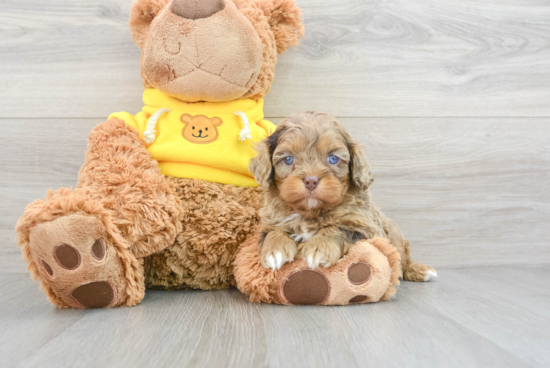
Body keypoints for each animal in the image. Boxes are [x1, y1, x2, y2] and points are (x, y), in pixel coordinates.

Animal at [251, 112, 440, 282]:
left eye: (333, 159)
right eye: (288, 159)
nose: (311, 180)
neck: (310, 212)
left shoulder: (368, 229)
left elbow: (337, 229)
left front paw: (319, 248)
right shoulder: (271, 221)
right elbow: (273, 232)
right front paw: (275, 251)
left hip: (394, 234)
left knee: (402, 259)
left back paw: (421, 271)